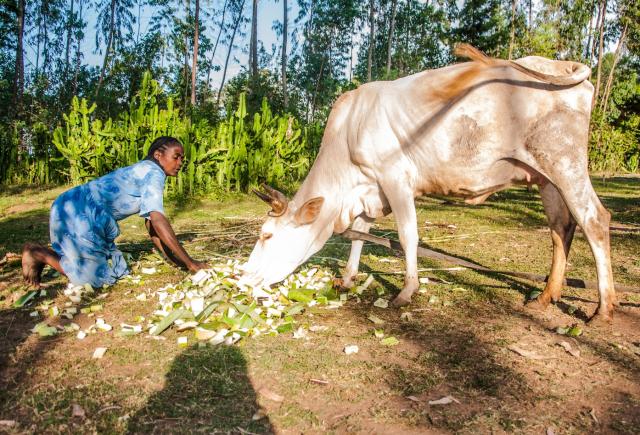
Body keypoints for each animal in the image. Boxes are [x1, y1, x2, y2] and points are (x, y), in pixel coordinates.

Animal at [241, 45, 616, 324]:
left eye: (267, 235)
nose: (244, 278)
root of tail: (561, 65)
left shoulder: (395, 178)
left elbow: (408, 236)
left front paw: (407, 291)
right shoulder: (371, 190)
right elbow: (360, 235)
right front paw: (347, 278)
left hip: (565, 164)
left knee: (594, 219)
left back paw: (603, 307)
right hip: (545, 176)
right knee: (561, 228)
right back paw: (547, 295)